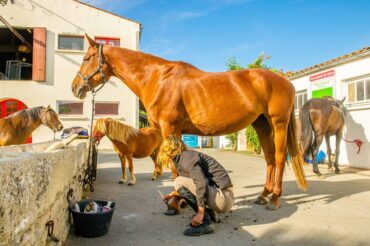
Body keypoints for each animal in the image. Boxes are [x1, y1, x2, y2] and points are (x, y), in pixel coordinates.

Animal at [71, 35, 308, 209]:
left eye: (86, 58)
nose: (75, 87)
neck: (157, 78)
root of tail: (285, 80)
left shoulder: (170, 128)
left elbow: (176, 170)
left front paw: (177, 201)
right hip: (261, 124)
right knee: (269, 157)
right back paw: (263, 194)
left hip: (278, 123)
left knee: (279, 158)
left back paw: (275, 198)